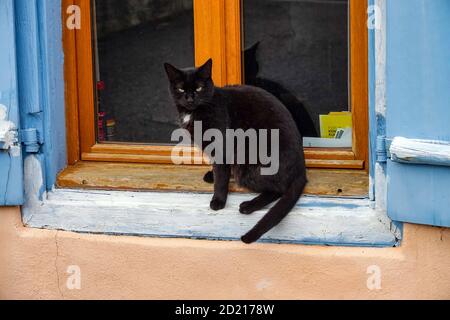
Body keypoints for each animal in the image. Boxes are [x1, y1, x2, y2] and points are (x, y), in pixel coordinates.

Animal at [163, 58, 308, 242]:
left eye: (199, 88)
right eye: (181, 88)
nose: (190, 98)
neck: (193, 113)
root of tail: (301, 169)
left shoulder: (222, 146)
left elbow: (221, 176)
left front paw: (218, 201)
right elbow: (219, 170)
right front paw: (211, 175)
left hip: (248, 166)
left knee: (279, 189)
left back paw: (248, 206)